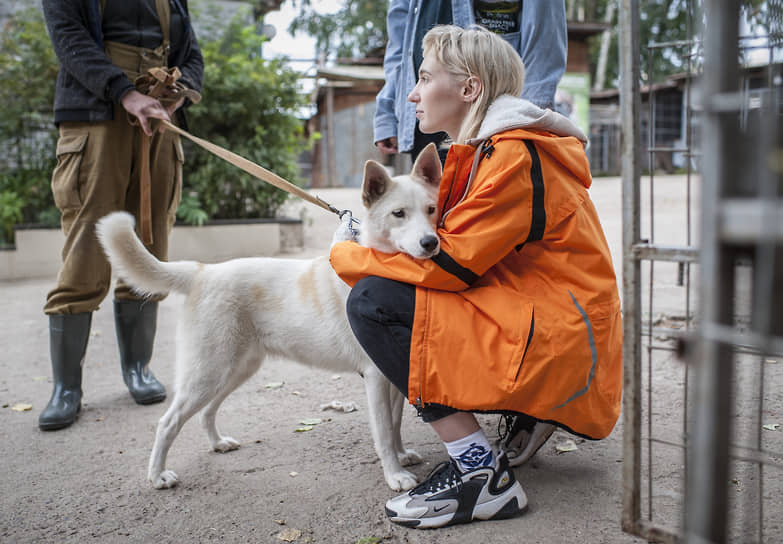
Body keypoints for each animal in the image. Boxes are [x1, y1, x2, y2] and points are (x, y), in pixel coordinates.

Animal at [95, 142, 444, 490]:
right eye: (398, 213)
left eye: (431, 209)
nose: (430, 243)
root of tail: (202, 272)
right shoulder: (375, 377)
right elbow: (384, 431)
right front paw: (394, 475)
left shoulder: (392, 376)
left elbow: (396, 424)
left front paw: (401, 457)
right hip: (206, 373)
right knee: (168, 422)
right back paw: (157, 476)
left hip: (236, 370)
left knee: (207, 410)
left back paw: (217, 443)